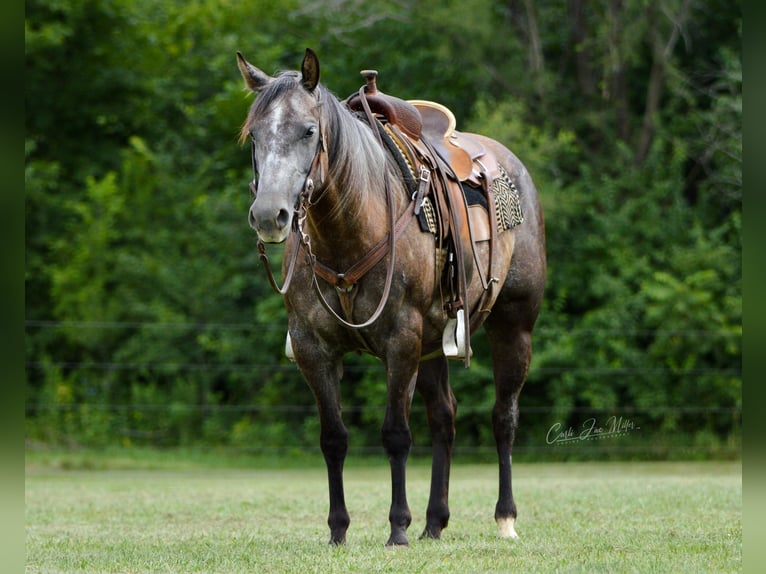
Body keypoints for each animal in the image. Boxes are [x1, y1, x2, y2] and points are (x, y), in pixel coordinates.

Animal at [238, 47, 544, 548]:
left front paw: (397, 527)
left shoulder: (400, 340)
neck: (349, 234)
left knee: (504, 417)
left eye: (308, 131)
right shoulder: (313, 349)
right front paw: (338, 530)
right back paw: (435, 522)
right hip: (434, 343)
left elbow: (396, 434)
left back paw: (505, 518)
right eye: (254, 136)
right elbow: (333, 437)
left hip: (513, 325)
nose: (269, 215)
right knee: (444, 417)